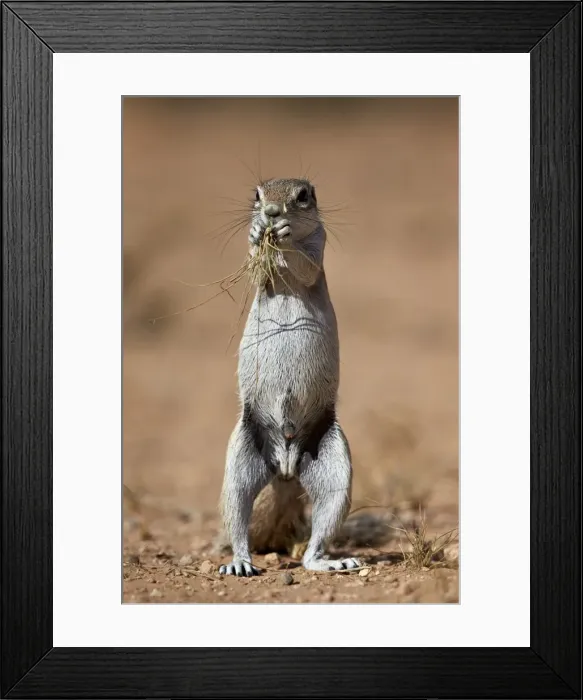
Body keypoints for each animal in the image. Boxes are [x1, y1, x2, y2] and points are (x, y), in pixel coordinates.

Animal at [217, 178, 362, 576]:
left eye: (303, 196)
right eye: (257, 195)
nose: (271, 213)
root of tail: (284, 468)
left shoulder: (318, 245)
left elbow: (307, 265)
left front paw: (281, 234)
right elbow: (256, 266)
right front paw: (257, 234)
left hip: (335, 466)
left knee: (319, 533)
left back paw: (330, 562)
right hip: (239, 460)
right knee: (237, 513)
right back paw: (239, 563)